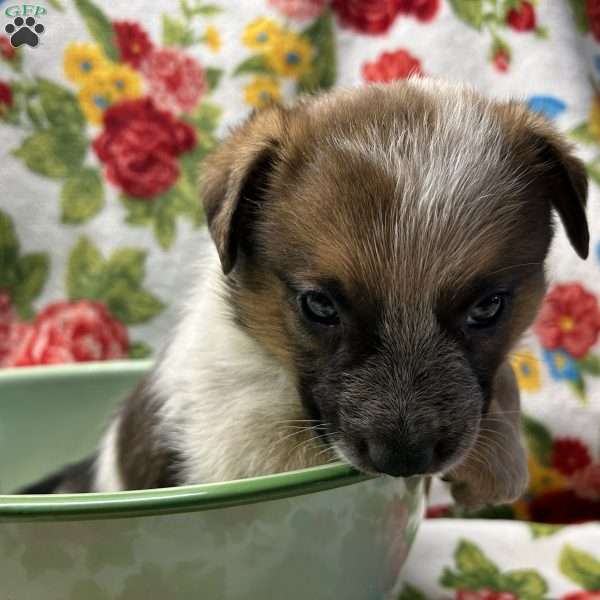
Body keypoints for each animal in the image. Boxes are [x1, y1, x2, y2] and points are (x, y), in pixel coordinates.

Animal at [19, 77, 592, 506]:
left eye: (489, 307)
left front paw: (501, 458)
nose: (403, 460)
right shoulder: (247, 445)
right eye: (319, 305)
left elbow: (502, 378)